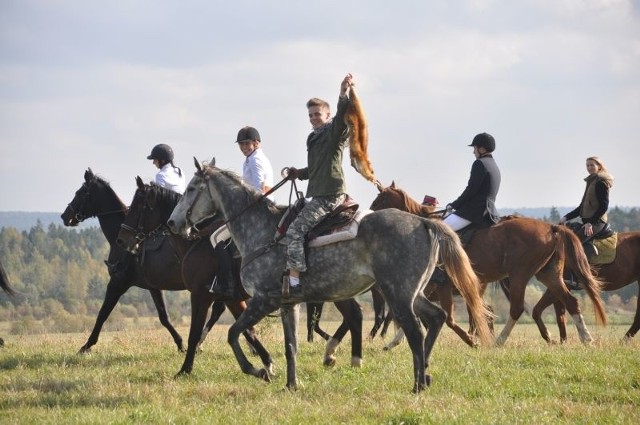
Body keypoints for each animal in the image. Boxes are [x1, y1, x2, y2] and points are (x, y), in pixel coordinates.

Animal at [116, 177, 274, 376]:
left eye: (137, 206)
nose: (121, 240)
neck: (197, 242)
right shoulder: (232, 299)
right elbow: (248, 330)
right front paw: (266, 363)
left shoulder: (200, 296)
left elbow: (194, 333)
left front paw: (185, 369)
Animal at [168, 158, 492, 390]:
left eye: (191, 189)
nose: (173, 223)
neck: (260, 230)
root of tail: (424, 223)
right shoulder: (288, 304)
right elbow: (290, 346)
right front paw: (291, 384)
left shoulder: (263, 299)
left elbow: (234, 333)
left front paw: (258, 370)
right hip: (412, 293)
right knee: (436, 317)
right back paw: (424, 374)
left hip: (397, 293)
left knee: (415, 329)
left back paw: (417, 384)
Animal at [370, 181, 604, 344]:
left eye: (379, 201)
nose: (368, 219)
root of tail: (552, 228)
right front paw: (393, 342)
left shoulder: (437, 284)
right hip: (548, 274)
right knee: (570, 302)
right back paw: (586, 338)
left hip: (519, 275)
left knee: (517, 309)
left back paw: (498, 341)